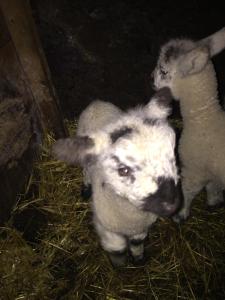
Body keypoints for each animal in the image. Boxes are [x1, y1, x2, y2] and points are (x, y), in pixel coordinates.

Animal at [52, 88, 181, 266]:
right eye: (123, 170)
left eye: (172, 154)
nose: (171, 205)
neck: (130, 217)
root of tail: (97, 102)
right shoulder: (106, 227)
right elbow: (117, 247)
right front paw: (119, 266)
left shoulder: (141, 227)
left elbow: (137, 242)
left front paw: (138, 259)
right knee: (85, 169)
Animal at [151, 26, 225, 223]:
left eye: (163, 70)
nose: (151, 78)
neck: (204, 119)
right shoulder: (210, 170)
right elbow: (213, 186)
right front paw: (214, 201)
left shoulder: (194, 169)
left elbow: (188, 190)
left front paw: (180, 214)